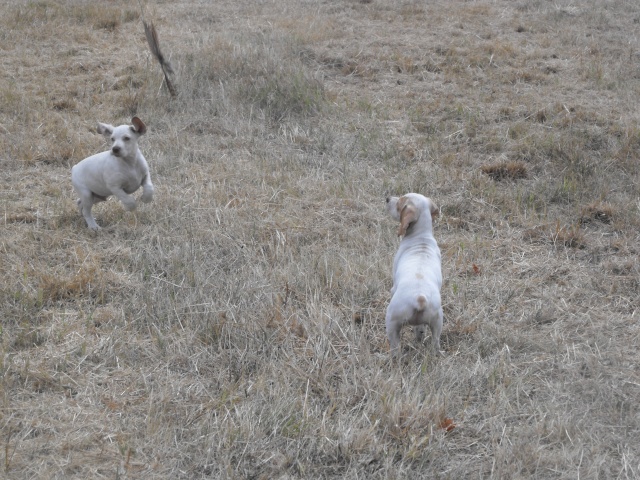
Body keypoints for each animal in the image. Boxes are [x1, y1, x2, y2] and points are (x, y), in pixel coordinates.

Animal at [382, 193, 442, 358]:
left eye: (400, 201)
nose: (387, 198)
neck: (422, 237)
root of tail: (420, 298)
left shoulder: (393, 288)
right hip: (437, 324)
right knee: (433, 343)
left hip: (391, 323)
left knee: (395, 350)